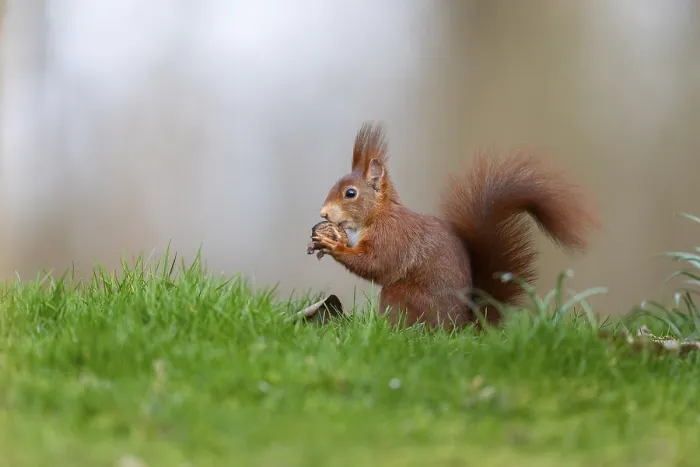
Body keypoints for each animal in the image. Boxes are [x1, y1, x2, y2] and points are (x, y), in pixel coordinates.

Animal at [310, 122, 599, 330]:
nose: (323, 212)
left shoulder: (393, 237)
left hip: (400, 296)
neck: (378, 215)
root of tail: (460, 328)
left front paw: (333, 245)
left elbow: (376, 264)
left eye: (350, 193)